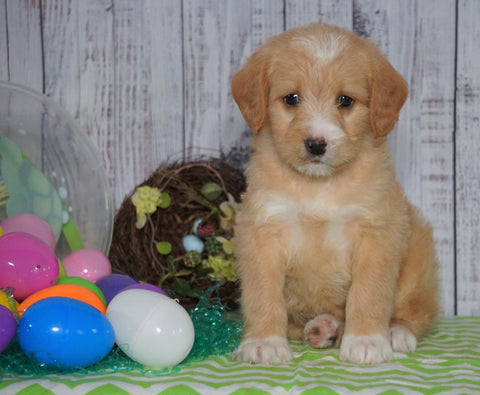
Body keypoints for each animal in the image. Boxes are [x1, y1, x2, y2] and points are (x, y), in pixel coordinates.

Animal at [232, 24, 438, 366]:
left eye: (345, 100)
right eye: (292, 98)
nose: (316, 144)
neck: (320, 185)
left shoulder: (376, 232)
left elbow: (368, 293)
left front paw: (366, 340)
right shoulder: (262, 230)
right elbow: (263, 293)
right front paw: (264, 342)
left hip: (417, 258)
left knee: (415, 310)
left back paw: (395, 333)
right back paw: (324, 327)